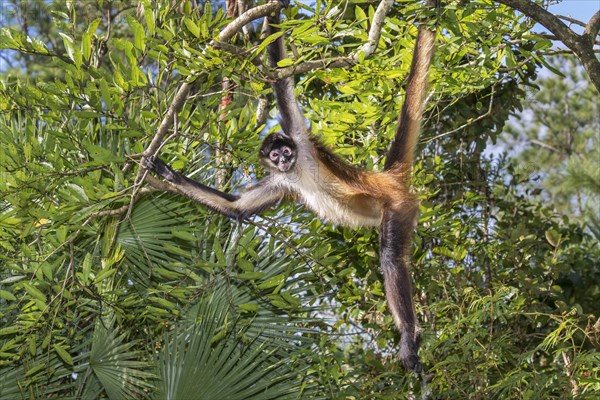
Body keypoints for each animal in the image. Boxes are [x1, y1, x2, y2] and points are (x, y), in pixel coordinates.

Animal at [145, 4, 436, 372]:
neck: (297, 169)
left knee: (391, 258)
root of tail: (385, 178)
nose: (282, 159)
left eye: (285, 151)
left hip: (396, 206)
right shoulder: (280, 182)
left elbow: (282, 78)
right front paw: (167, 172)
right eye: (274, 155)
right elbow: (237, 209)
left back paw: (409, 338)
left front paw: (276, 8)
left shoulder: (299, 137)